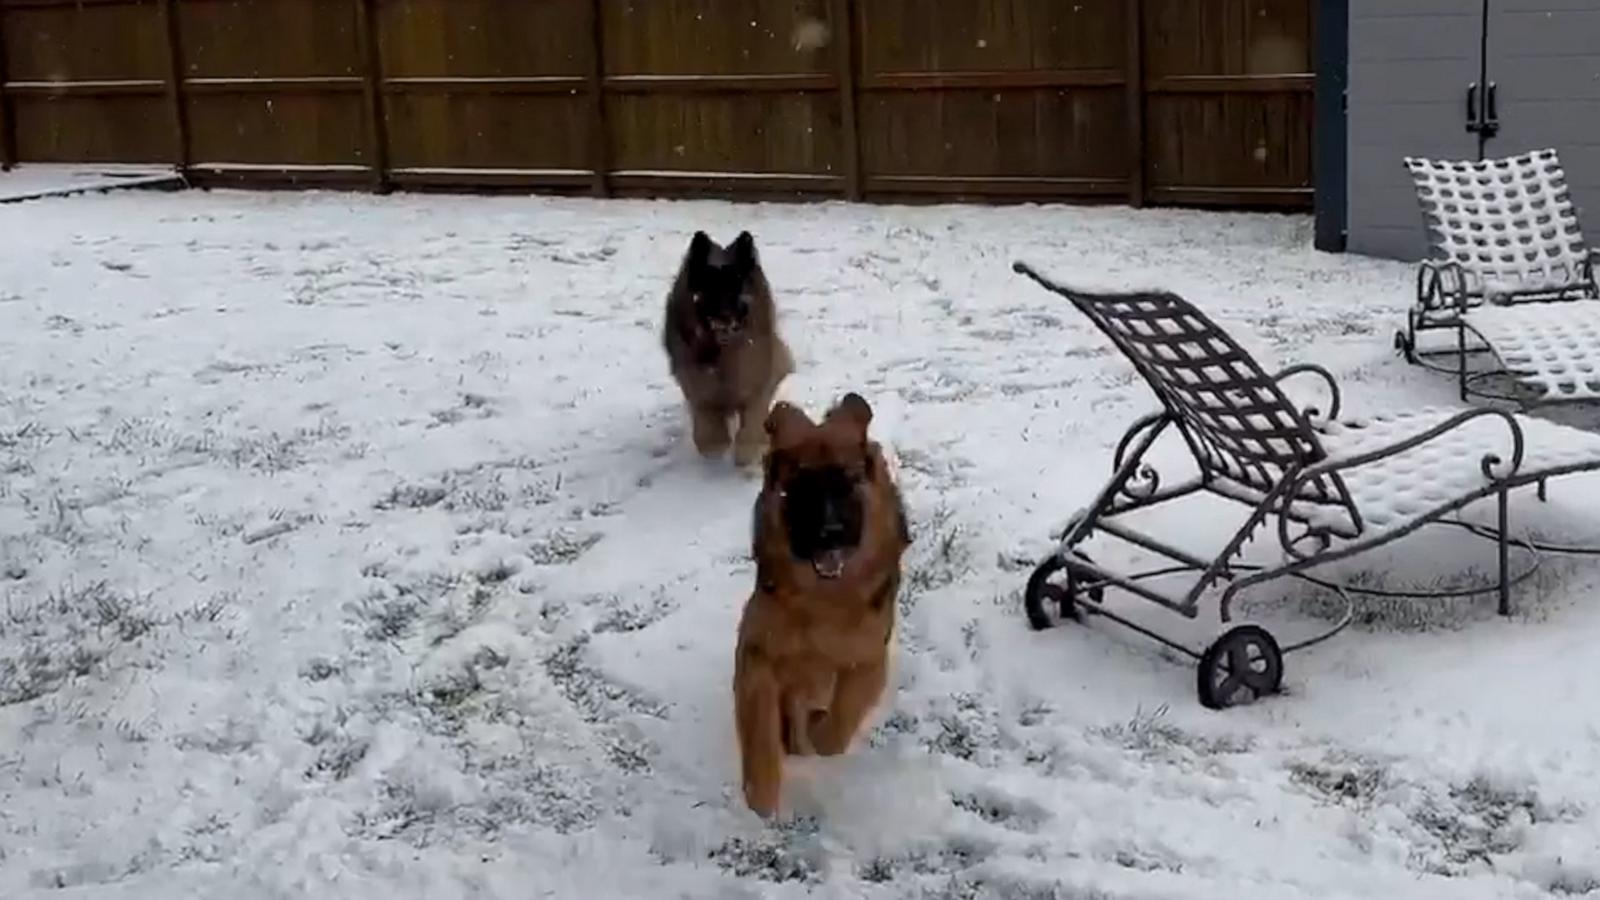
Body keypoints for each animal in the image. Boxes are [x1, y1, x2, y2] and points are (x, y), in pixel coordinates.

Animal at [659, 227, 790, 464]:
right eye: (710, 287)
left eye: (736, 285)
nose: (725, 317)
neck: (723, 357)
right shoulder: (698, 387)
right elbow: (706, 422)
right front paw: (715, 444)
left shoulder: (757, 380)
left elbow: (754, 418)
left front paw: (748, 449)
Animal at [732, 390, 908, 813]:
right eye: (802, 487)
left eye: (846, 483)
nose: (830, 534)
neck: (822, 600)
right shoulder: (756, 656)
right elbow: (759, 727)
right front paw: (761, 790)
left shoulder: (868, 660)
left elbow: (841, 718)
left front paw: (820, 735)